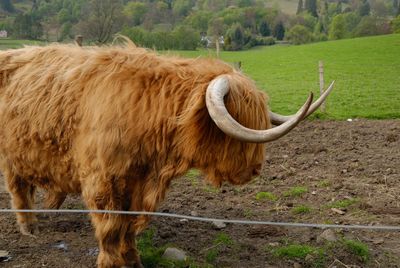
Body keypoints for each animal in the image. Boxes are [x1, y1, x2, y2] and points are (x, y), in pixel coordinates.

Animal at [0, 42, 332, 268]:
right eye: (240, 122)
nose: (255, 169)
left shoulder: (137, 184)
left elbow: (128, 226)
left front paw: (133, 259)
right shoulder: (101, 179)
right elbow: (110, 226)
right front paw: (111, 262)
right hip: (9, 156)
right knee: (17, 190)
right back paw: (29, 228)